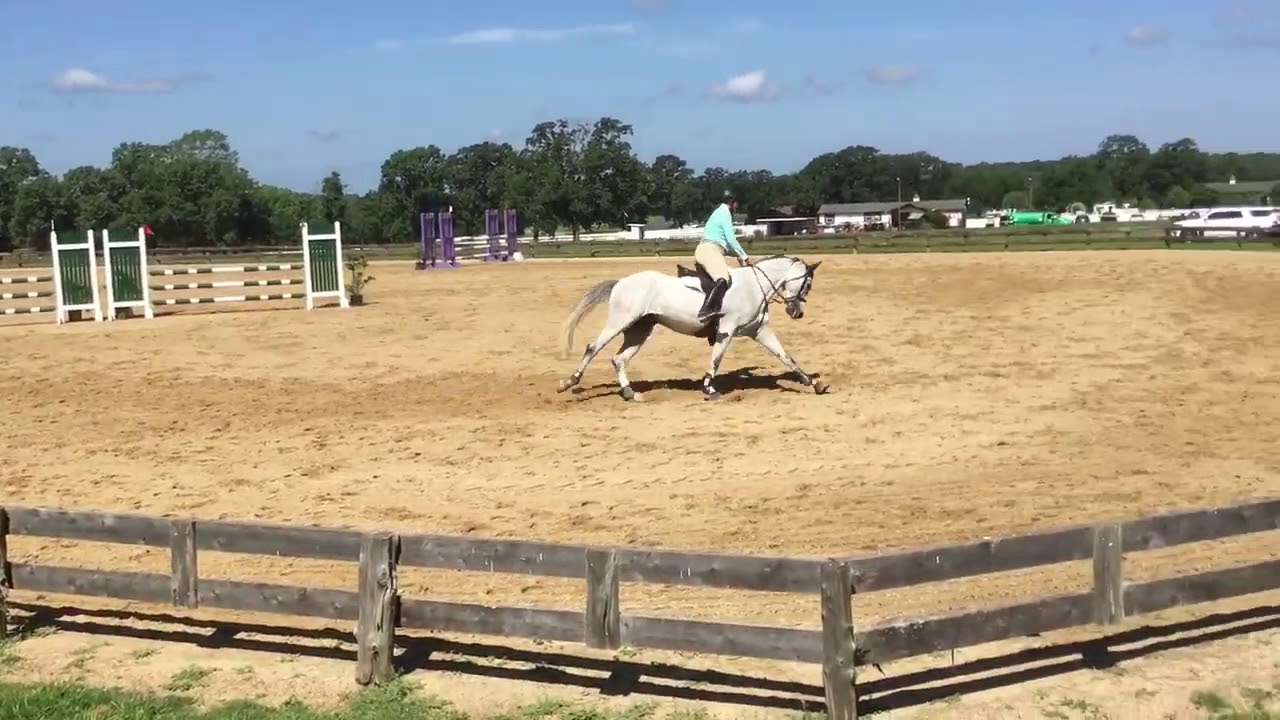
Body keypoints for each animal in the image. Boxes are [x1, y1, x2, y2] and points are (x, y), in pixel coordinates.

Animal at [555, 254, 831, 401]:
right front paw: (709, 389)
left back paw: (630, 392)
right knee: (593, 348)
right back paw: (569, 382)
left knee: (619, 359)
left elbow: (786, 357)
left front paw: (814, 383)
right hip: (621, 320)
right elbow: (716, 360)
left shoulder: (759, 331)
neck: (755, 286)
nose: (797, 312)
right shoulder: (727, 330)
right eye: (807, 285)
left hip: (640, 329)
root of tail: (621, 282)